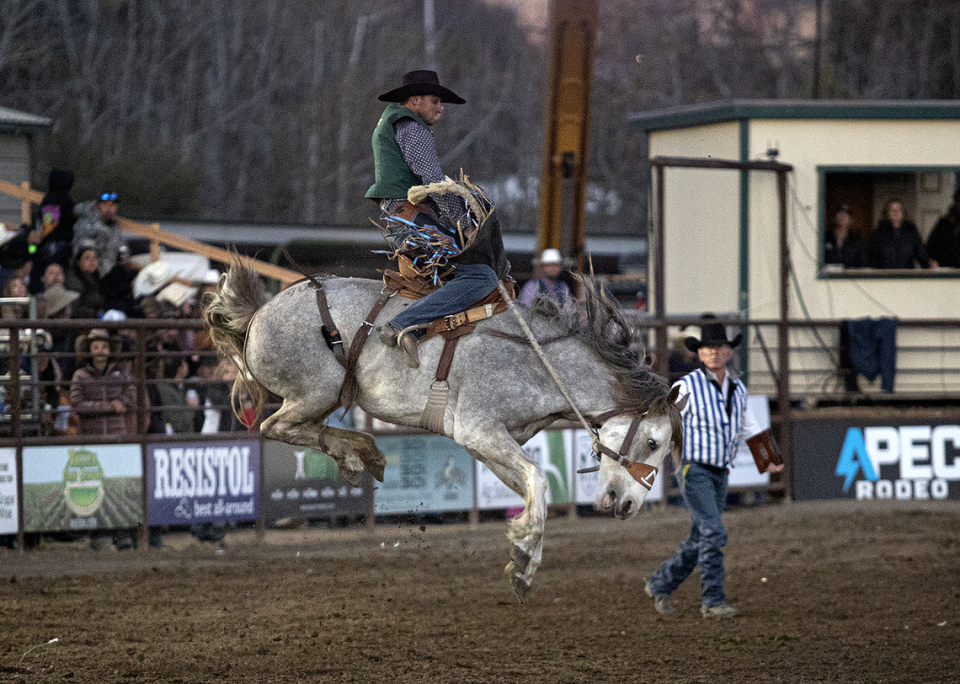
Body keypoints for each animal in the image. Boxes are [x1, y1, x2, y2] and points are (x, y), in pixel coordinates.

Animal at [204, 262, 684, 600]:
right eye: (653, 441)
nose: (627, 504)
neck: (538, 361)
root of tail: (260, 311)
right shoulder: (479, 428)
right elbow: (538, 479)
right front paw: (524, 562)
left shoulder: (487, 444)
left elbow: (531, 487)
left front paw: (523, 547)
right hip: (315, 392)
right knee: (276, 426)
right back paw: (361, 452)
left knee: (298, 429)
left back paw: (362, 455)